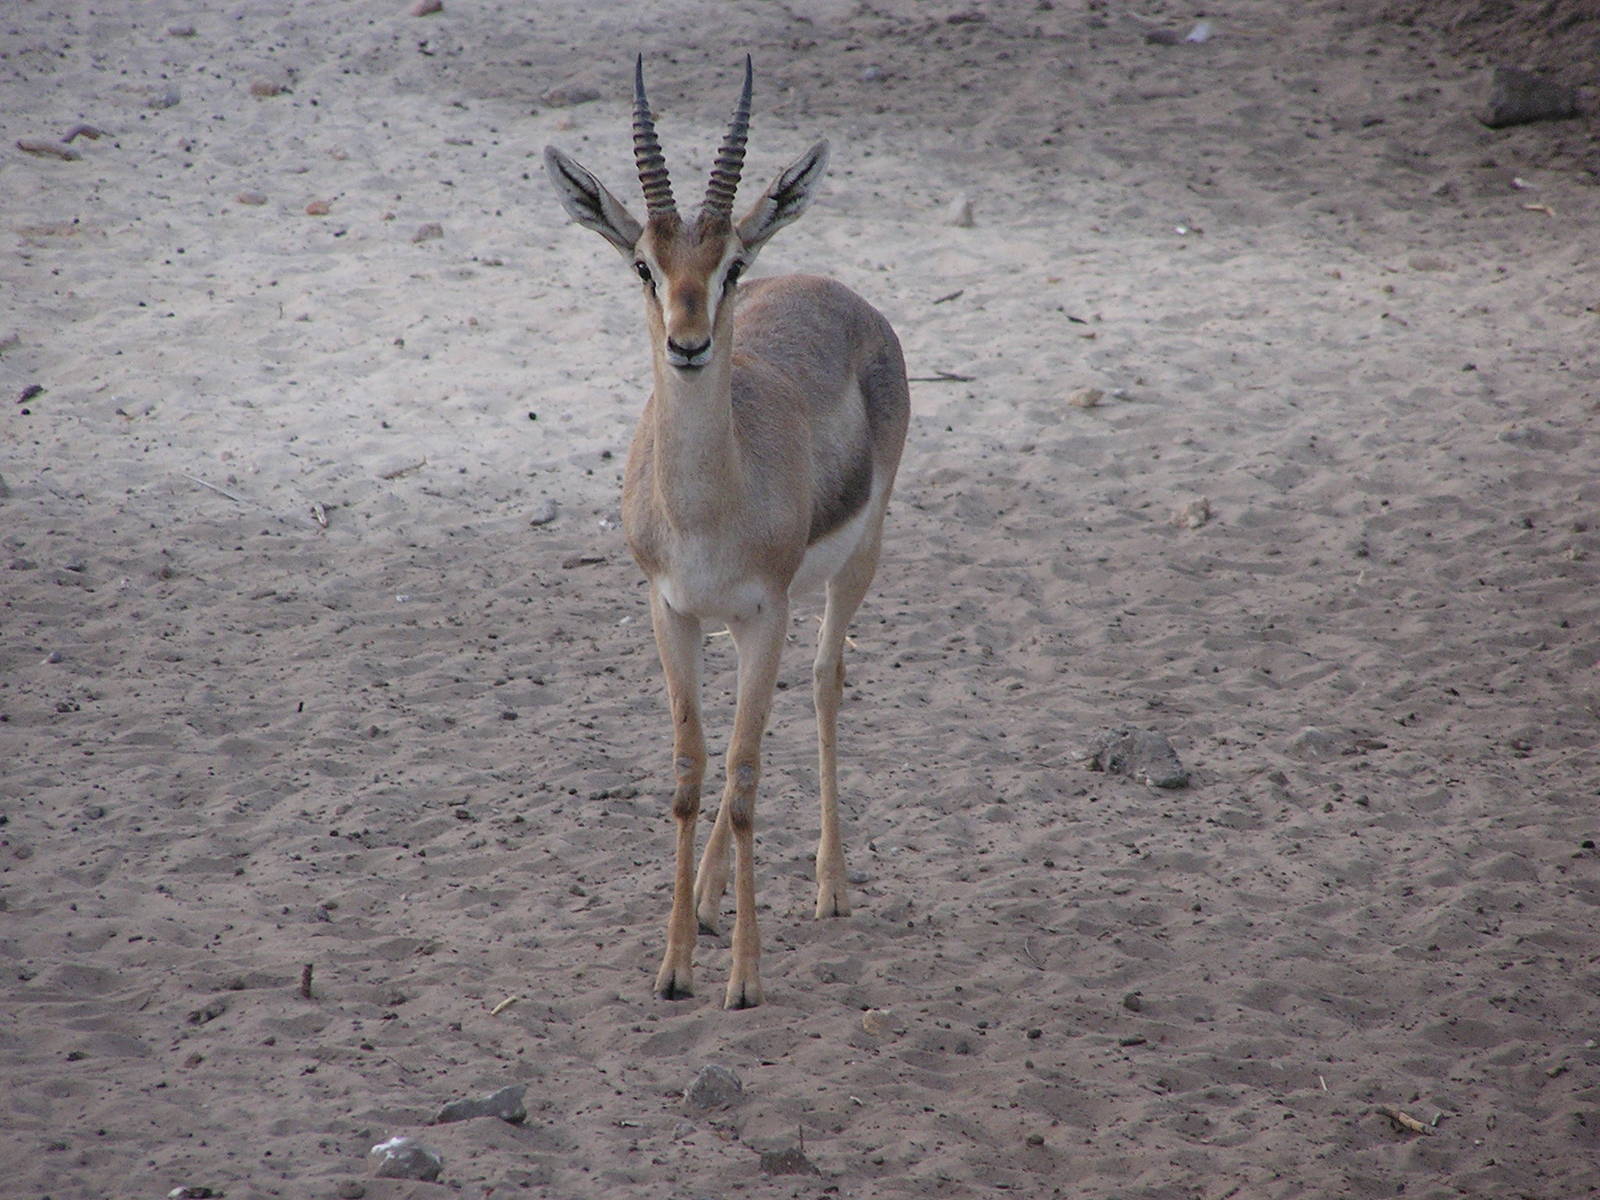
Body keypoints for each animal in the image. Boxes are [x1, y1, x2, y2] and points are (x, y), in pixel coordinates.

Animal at [544, 56, 909, 1009]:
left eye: (732, 264)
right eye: (644, 263)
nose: (689, 343)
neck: (709, 509)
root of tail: (840, 292)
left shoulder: (762, 612)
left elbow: (742, 782)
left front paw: (743, 980)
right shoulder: (672, 611)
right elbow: (689, 772)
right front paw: (675, 964)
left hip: (853, 565)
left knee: (822, 683)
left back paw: (830, 887)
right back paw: (709, 904)